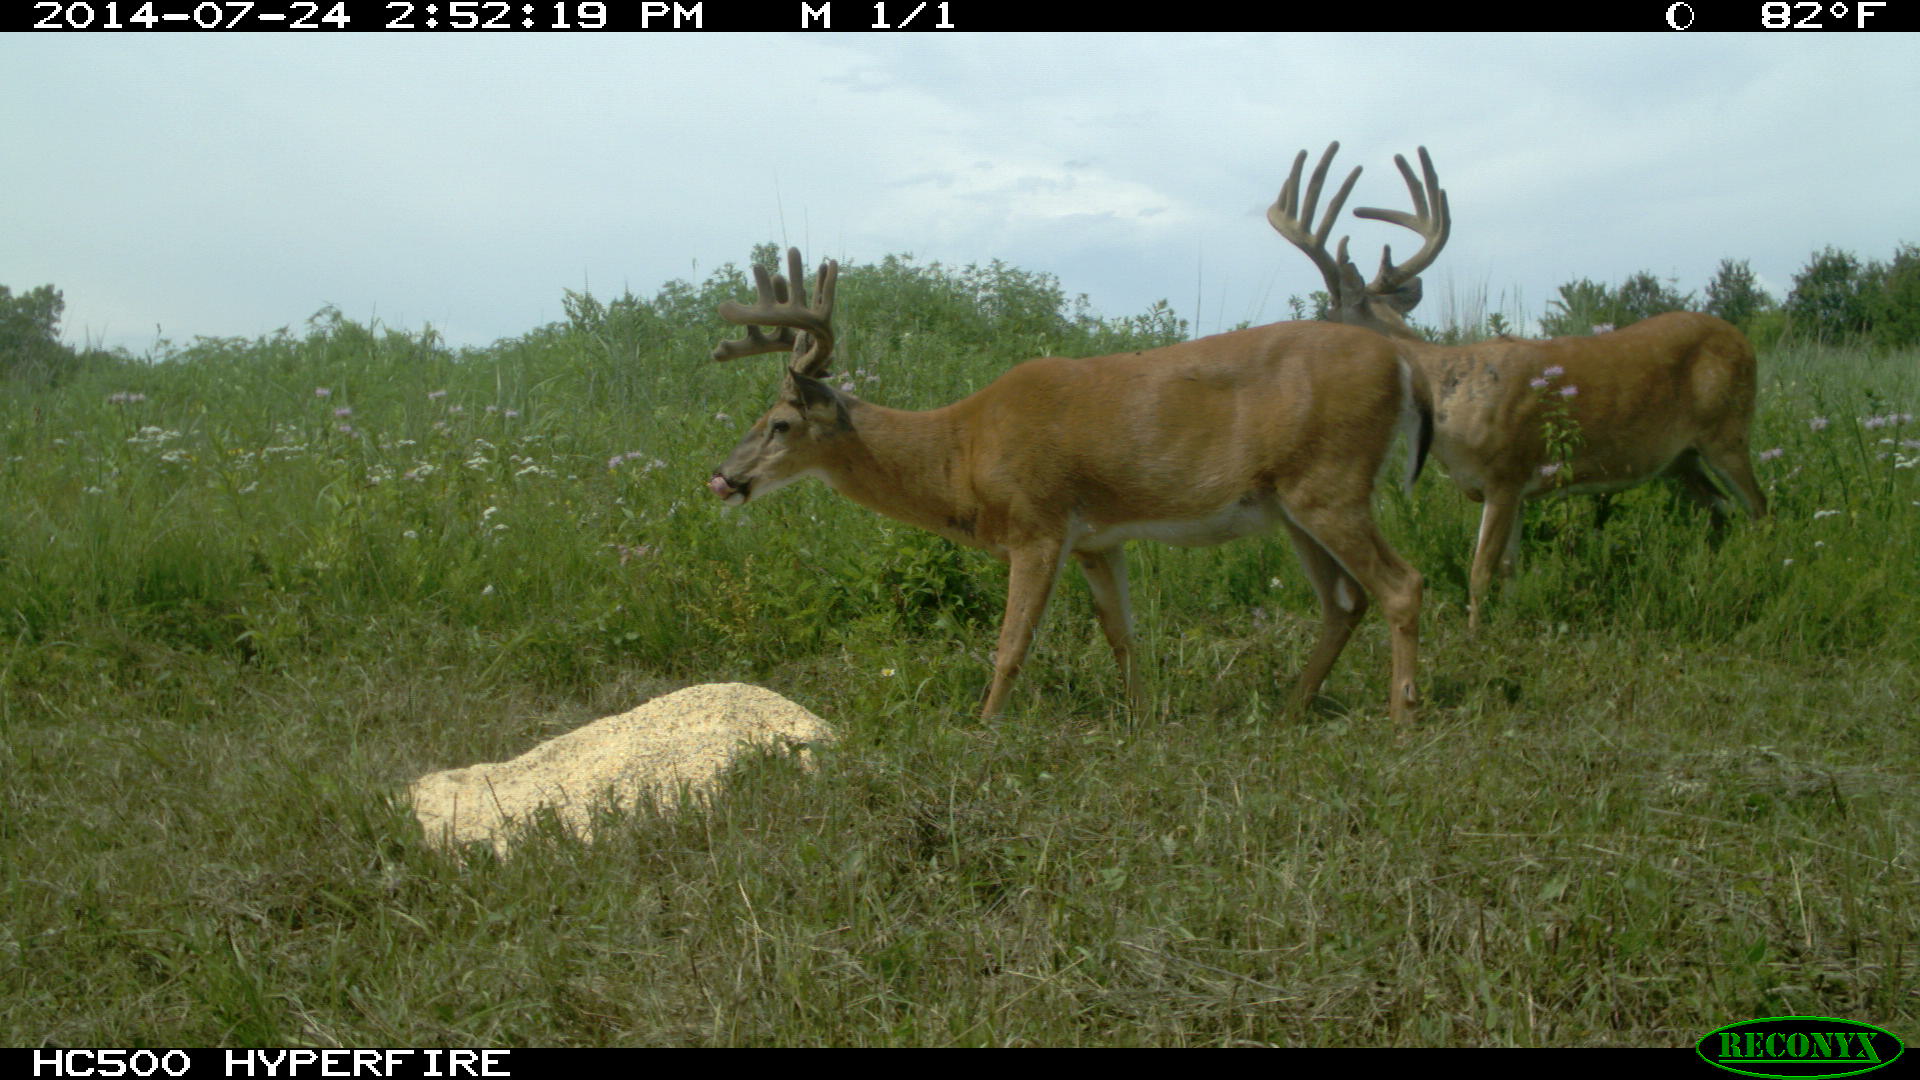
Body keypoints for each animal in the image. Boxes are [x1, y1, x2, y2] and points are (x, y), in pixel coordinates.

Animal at [702, 244, 1428, 722]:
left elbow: (1011, 643)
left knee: (1402, 584)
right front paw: (1141, 720)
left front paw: (985, 728)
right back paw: (1290, 711)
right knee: (1344, 601)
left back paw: (1400, 719)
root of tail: (1402, 365)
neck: (962, 450)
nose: (723, 478)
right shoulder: (1097, 540)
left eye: (780, 423)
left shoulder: (1038, 523)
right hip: (1292, 504)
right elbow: (1122, 637)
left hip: (1331, 482)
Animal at [1274, 144, 1766, 630]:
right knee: (1720, 508)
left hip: (1728, 430)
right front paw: (1508, 626)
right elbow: (1510, 568)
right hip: (1680, 459)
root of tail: (1743, 339)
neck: (1449, 400)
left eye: (1327, 313)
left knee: (1759, 506)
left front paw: (1475, 638)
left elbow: (1480, 570)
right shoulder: (1518, 491)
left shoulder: (1506, 473)